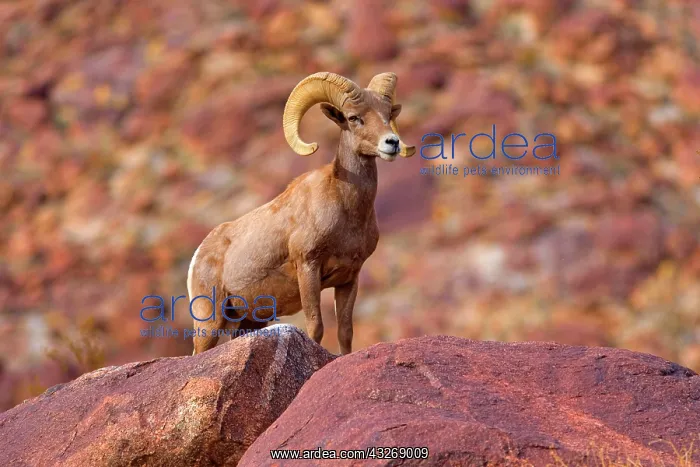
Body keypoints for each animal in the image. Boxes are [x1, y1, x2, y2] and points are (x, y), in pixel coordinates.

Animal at [187, 71, 415, 355]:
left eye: (387, 115)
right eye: (353, 118)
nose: (391, 143)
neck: (346, 210)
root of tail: (200, 253)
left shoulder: (349, 278)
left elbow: (345, 332)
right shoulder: (308, 267)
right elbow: (315, 327)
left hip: (248, 321)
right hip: (210, 320)